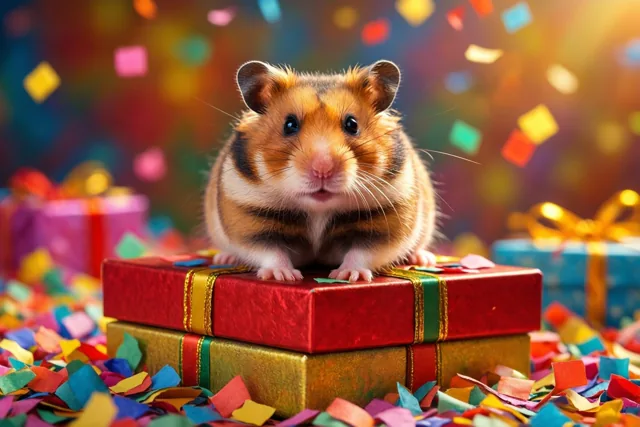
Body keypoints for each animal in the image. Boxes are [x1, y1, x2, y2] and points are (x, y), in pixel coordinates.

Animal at [204, 60, 438, 282]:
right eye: (289, 125)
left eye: (352, 124)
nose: (323, 170)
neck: (318, 209)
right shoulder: (248, 217)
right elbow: (269, 251)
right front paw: (282, 276)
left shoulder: (387, 220)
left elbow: (362, 252)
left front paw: (348, 275)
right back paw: (225, 258)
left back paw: (423, 258)